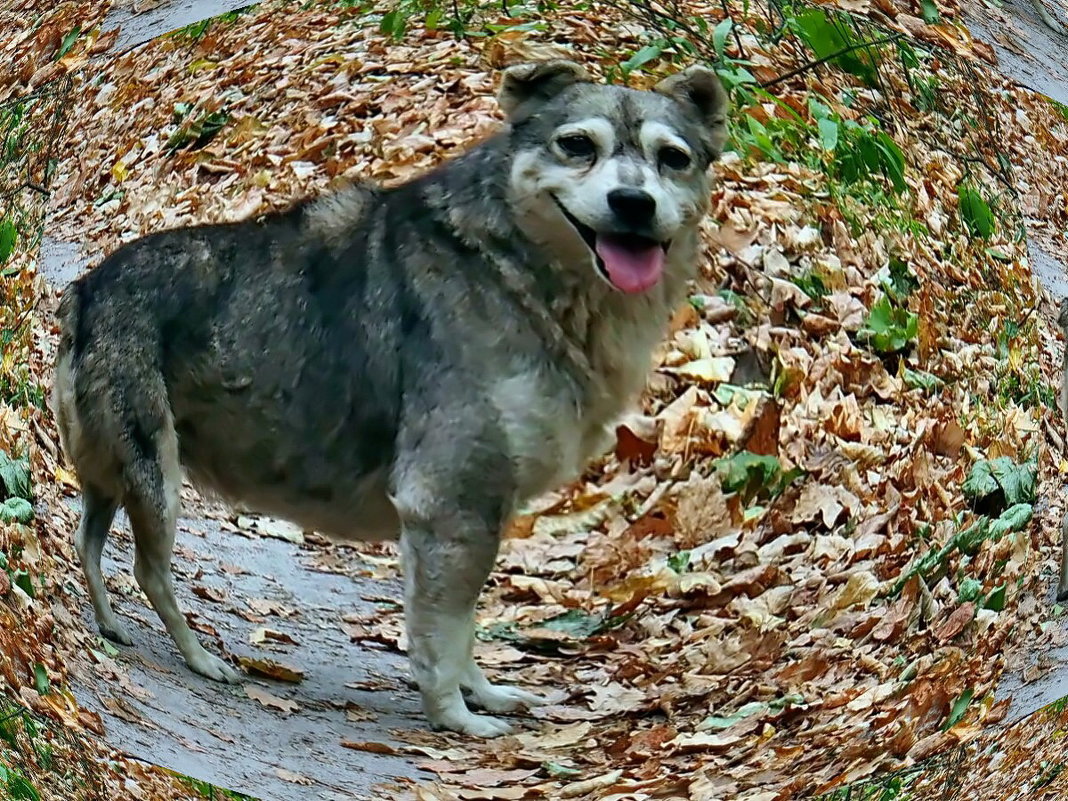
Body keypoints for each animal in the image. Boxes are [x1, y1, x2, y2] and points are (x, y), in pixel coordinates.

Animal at [54, 61, 730, 739]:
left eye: (673, 158)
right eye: (576, 145)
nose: (634, 204)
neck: (507, 264)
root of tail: (86, 290)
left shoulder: (471, 516)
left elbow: (463, 632)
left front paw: (481, 695)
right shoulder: (449, 506)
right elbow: (443, 636)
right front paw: (456, 717)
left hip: (112, 474)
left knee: (88, 540)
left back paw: (110, 624)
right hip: (155, 480)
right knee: (150, 572)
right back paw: (201, 659)